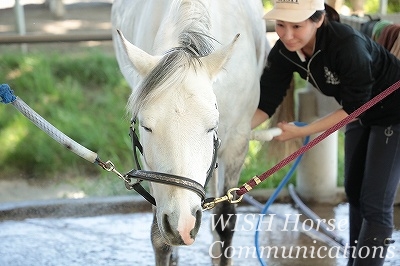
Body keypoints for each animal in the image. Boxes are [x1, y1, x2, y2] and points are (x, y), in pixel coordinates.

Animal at [111, 1, 268, 264]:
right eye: (146, 126)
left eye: (212, 126)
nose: (182, 222)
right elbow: (159, 238)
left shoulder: (237, 140)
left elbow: (225, 221)